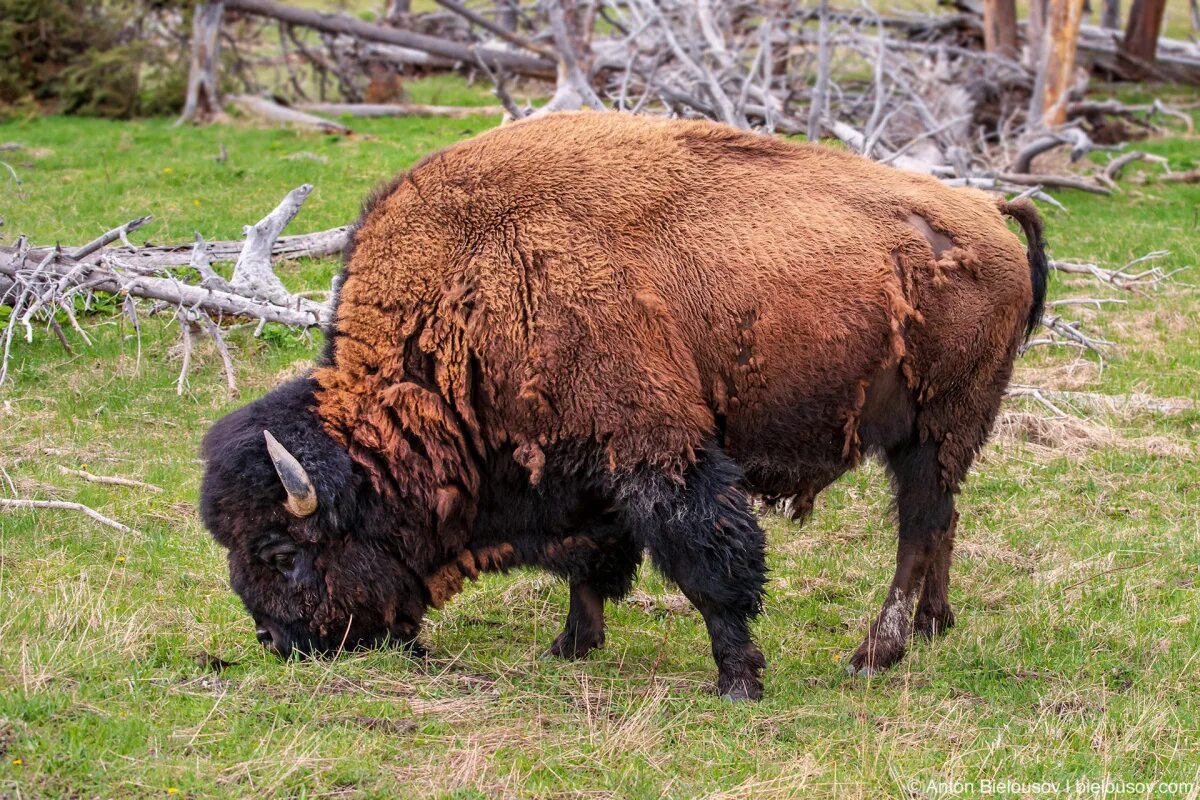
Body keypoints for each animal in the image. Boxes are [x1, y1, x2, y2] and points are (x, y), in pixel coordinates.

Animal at [201, 112, 1046, 700]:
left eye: (279, 553)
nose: (275, 640)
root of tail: (988, 213)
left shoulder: (656, 448)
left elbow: (708, 562)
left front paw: (739, 679)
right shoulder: (581, 468)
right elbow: (592, 561)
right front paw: (571, 645)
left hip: (934, 429)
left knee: (919, 529)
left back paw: (876, 652)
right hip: (937, 438)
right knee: (942, 521)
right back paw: (934, 627)